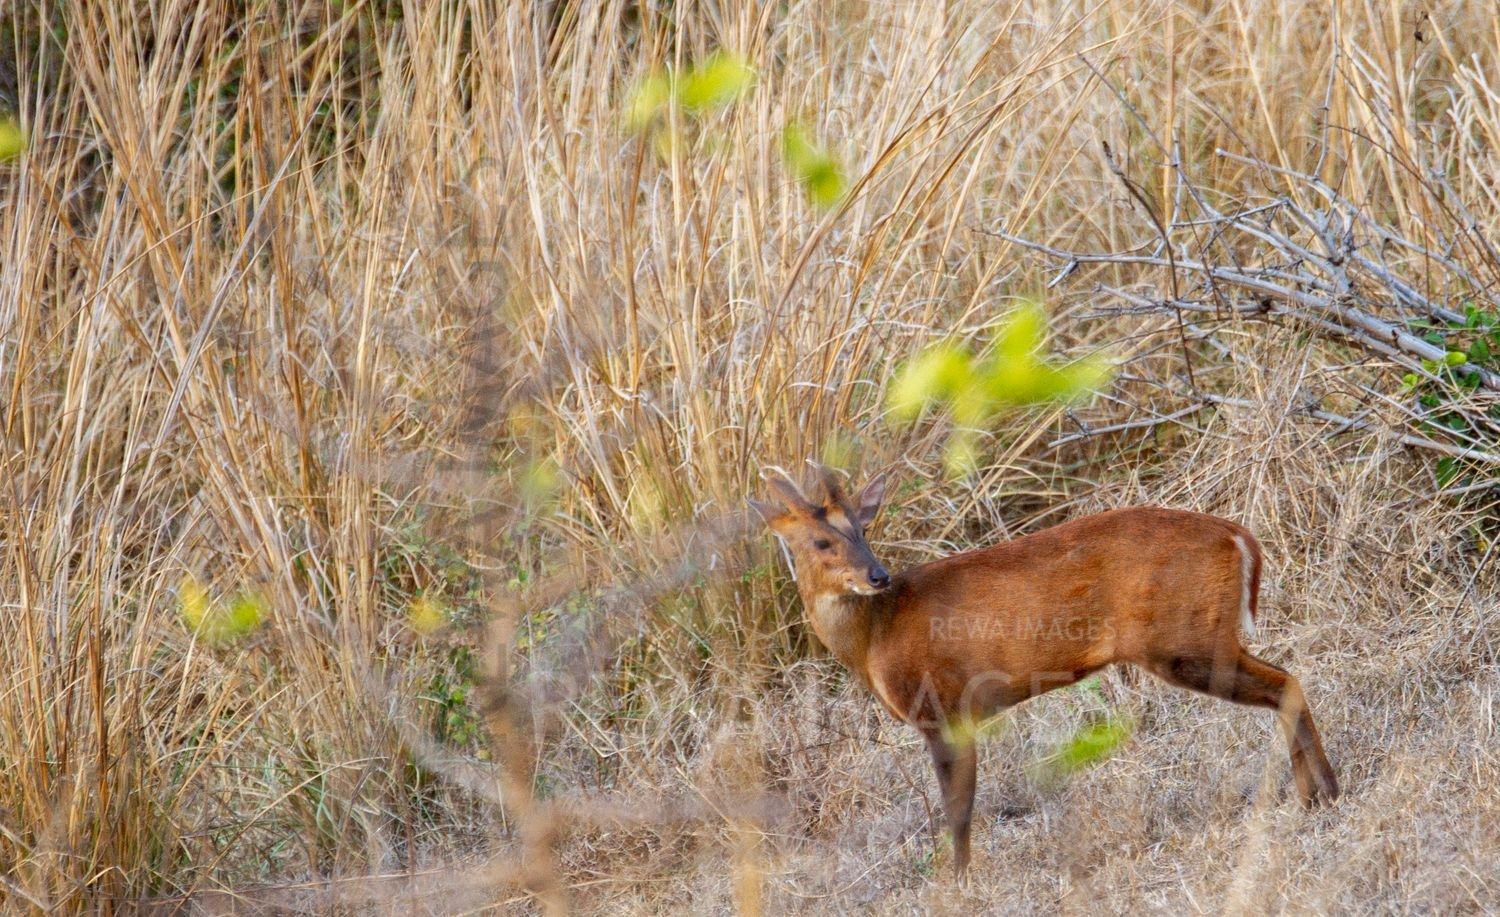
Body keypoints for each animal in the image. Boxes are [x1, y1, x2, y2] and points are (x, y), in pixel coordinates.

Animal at [750, 464, 1339, 877]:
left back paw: (1323, 794)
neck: (877, 634)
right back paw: (1315, 796)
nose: (877, 575)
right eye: (821, 540)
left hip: (1184, 642)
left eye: (863, 530)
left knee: (1285, 681)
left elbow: (958, 808)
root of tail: (1240, 537)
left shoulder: (943, 706)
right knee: (1287, 679)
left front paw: (956, 882)